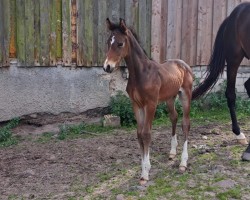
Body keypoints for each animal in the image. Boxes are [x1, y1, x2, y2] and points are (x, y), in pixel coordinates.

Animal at [103, 18, 193, 184]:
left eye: (120, 43)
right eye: (108, 42)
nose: (107, 67)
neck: (141, 73)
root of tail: (183, 64)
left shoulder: (151, 104)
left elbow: (146, 134)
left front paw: (145, 174)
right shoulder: (136, 105)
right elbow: (140, 134)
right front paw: (145, 167)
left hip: (186, 95)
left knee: (185, 124)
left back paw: (183, 163)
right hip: (170, 98)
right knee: (174, 117)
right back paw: (172, 152)